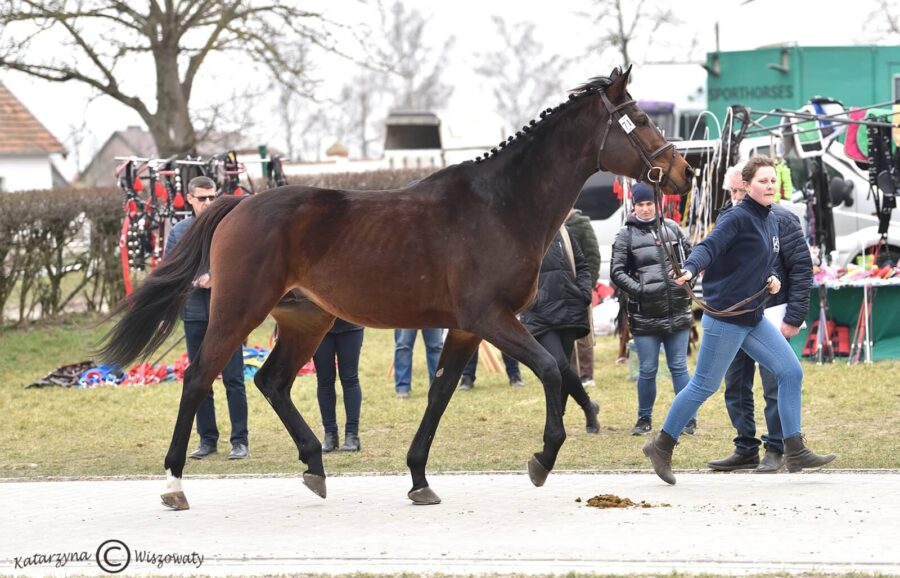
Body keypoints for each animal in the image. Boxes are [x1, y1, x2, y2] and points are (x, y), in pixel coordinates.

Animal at [100, 65, 688, 508]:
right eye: (638, 119)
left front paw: (420, 478)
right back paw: (175, 484)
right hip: (239, 311)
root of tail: (237, 205)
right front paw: (542, 459)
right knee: (199, 377)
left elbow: (443, 391)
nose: (682, 172)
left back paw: (315, 465)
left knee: (272, 381)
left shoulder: (466, 329)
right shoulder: (491, 319)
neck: (500, 205)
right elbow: (549, 370)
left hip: (307, 318)